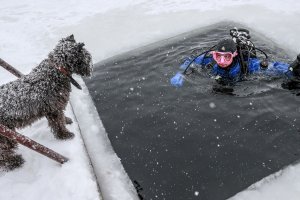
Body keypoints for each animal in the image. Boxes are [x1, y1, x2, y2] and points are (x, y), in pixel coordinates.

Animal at [0, 34, 92, 170]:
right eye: (87, 56)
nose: (91, 67)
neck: (57, 70)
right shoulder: (54, 109)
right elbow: (58, 124)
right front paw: (65, 135)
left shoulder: (56, 108)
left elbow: (61, 119)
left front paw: (67, 120)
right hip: (5, 135)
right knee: (3, 152)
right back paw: (13, 162)